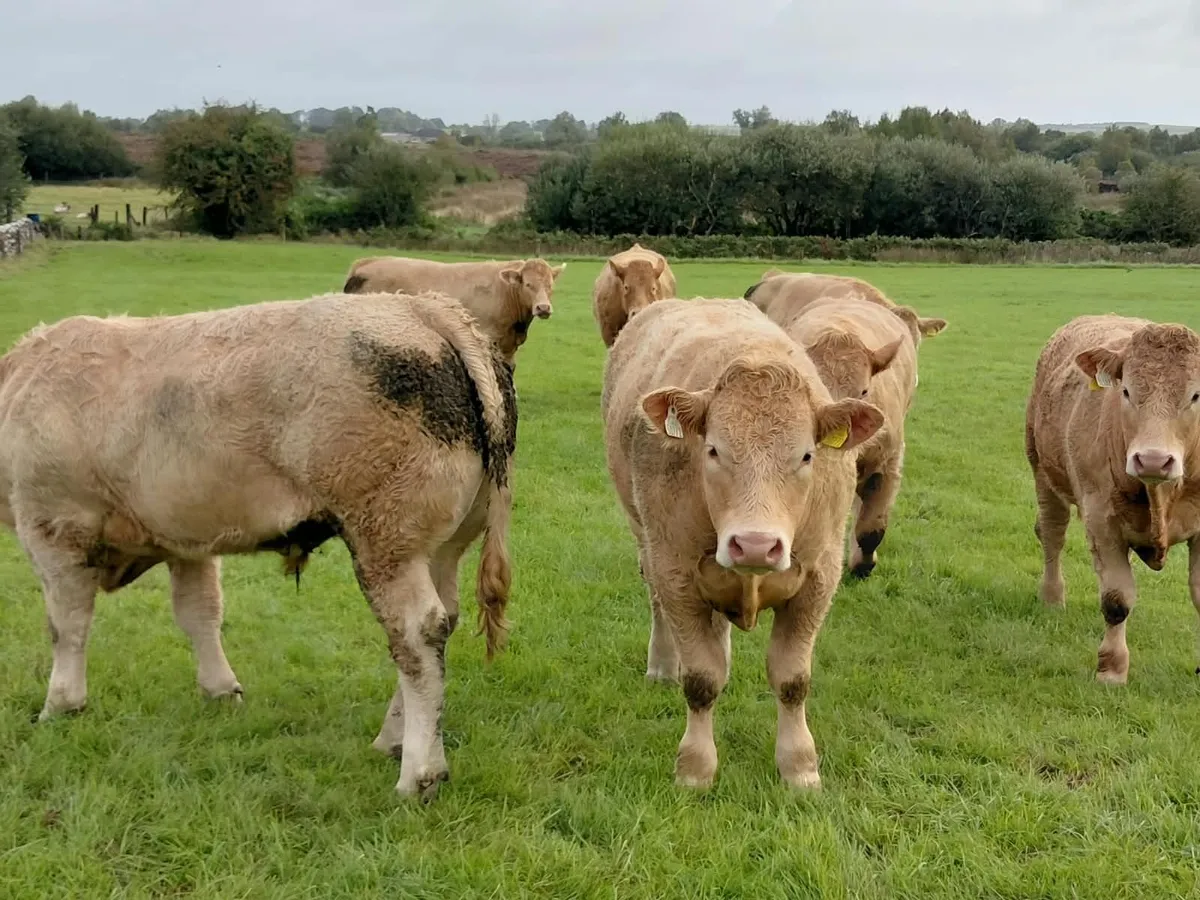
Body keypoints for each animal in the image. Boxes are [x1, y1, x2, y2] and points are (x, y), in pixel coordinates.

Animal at [0, 290, 518, 801]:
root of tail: (422, 307)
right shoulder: (187, 539)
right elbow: (199, 613)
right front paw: (219, 690)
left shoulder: (53, 525)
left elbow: (66, 625)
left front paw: (61, 705)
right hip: (444, 543)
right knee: (442, 620)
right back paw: (392, 740)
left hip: (387, 537)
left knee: (416, 631)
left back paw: (420, 772)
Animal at [602, 297, 884, 790]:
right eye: (714, 449)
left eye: (807, 455)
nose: (754, 545)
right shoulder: (676, 573)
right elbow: (701, 679)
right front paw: (695, 769)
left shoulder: (818, 578)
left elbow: (792, 679)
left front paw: (800, 768)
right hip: (646, 542)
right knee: (657, 603)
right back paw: (663, 664)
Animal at [1026, 314, 1200, 685]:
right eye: (1126, 391)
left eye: (1196, 395)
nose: (1152, 460)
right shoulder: (1101, 520)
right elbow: (1117, 598)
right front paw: (1112, 669)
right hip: (1043, 472)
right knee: (1052, 535)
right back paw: (1052, 597)